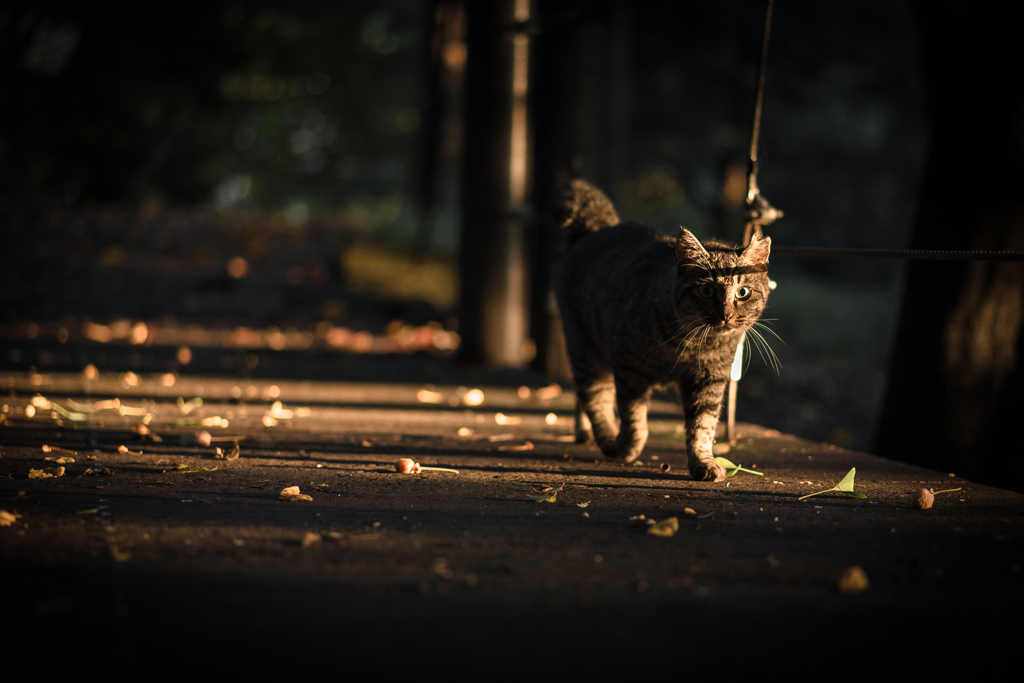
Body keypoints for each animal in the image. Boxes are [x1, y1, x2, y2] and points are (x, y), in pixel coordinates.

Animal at [557, 181, 770, 481]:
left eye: (743, 292)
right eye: (706, 290)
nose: (726, 314)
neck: (693, 345)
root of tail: (597, 229)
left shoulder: (710, 379)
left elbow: (702, 426)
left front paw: (703, 462)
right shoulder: (628, 367)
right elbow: (634, 419)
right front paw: (628, 447)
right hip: (586, 350)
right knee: (594, 397)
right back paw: (608, 439)